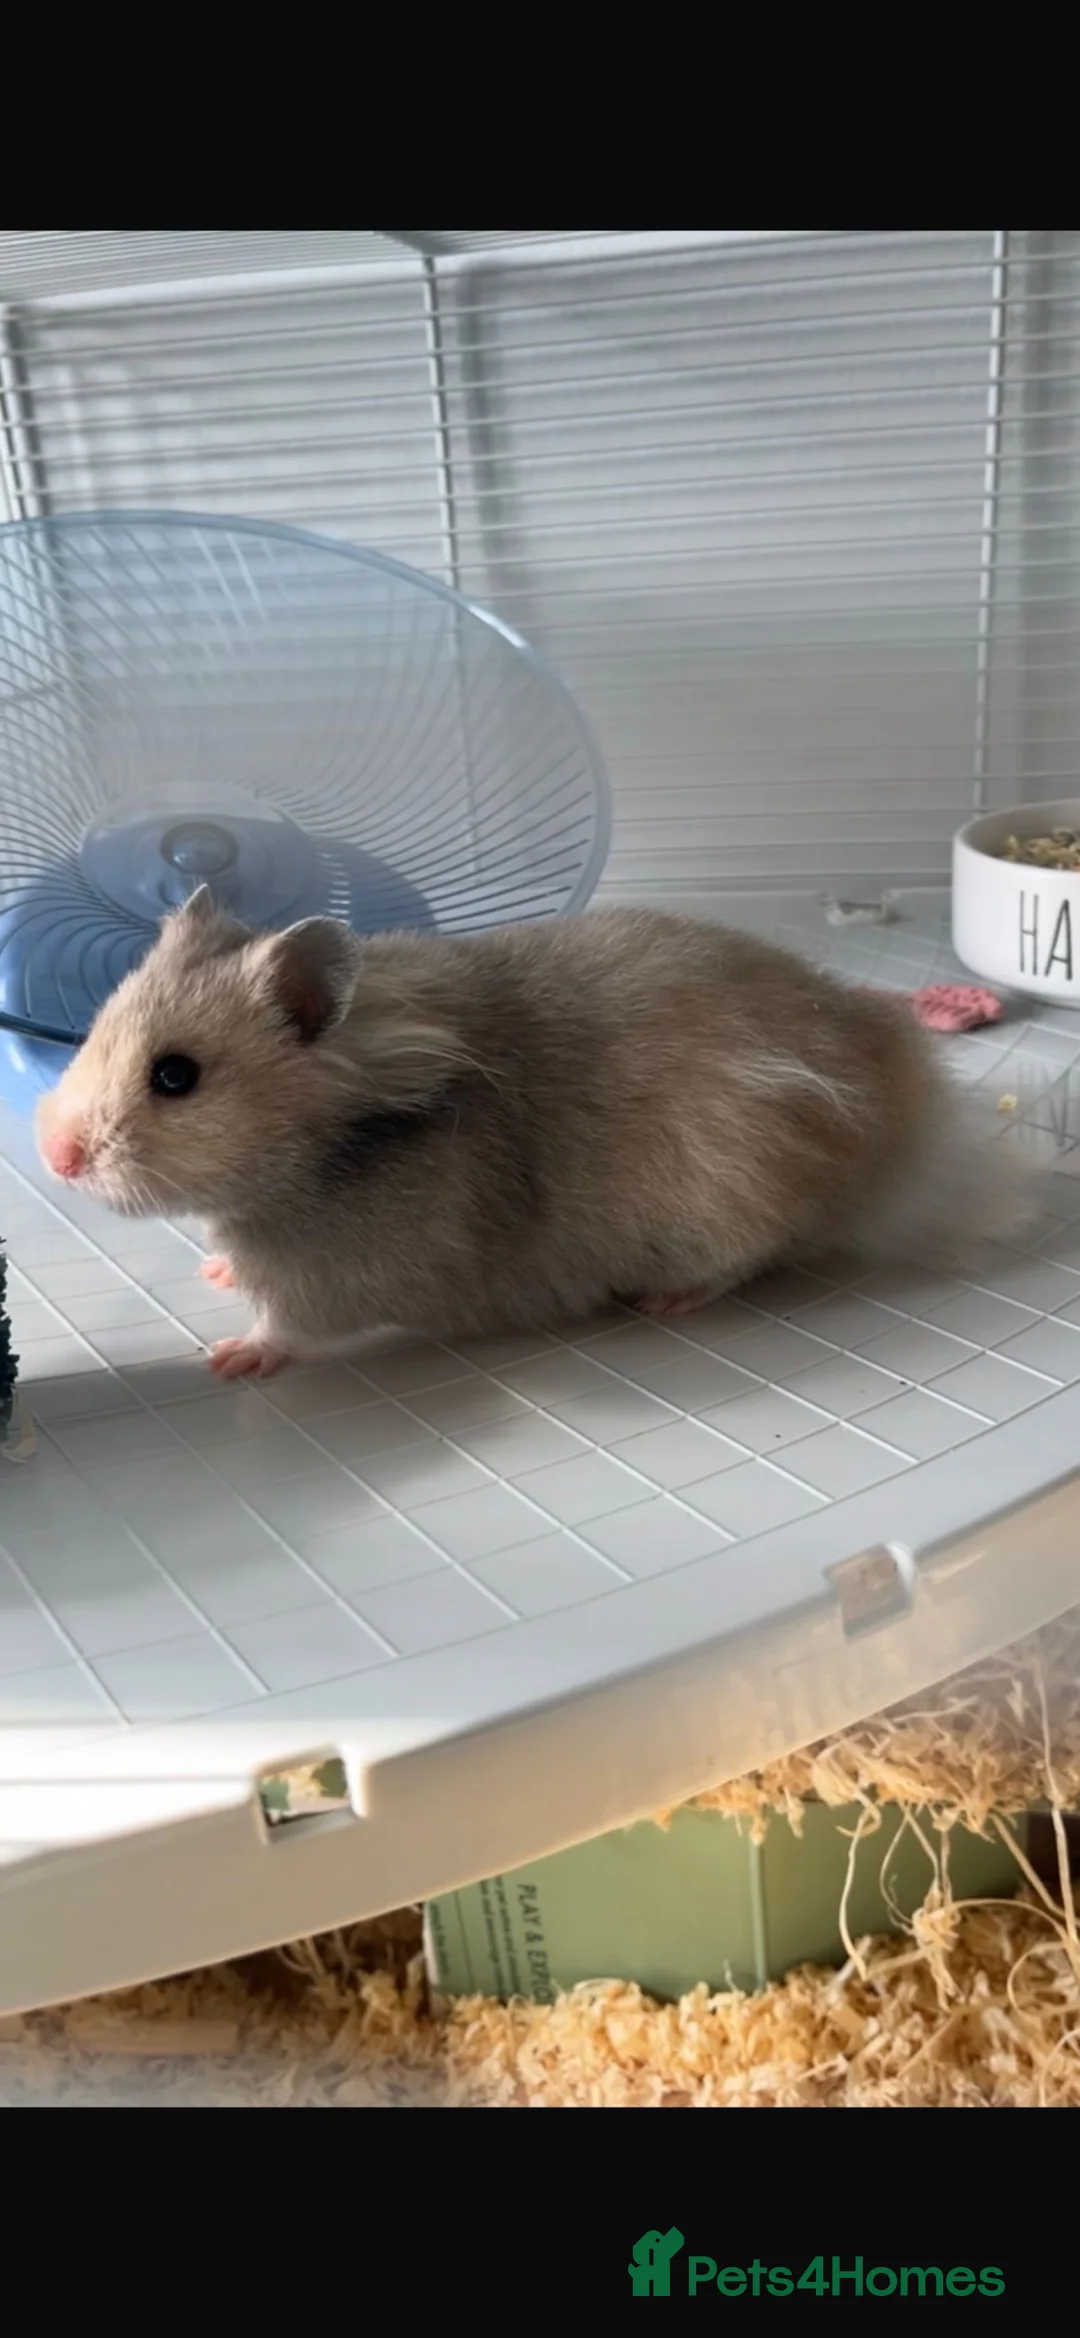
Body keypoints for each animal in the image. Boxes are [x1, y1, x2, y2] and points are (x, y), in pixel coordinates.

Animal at [35, 888, 1029, 1379]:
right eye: (96, 1023)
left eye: (176, 1077)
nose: (54, 1157)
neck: (312, 1157)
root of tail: (902, 1130)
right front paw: (215, 1271)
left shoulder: (342, 1275)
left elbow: (289, 1323)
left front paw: (227, 1360)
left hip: (733, 1188)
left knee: (749, 1258)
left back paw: (666, 1303)